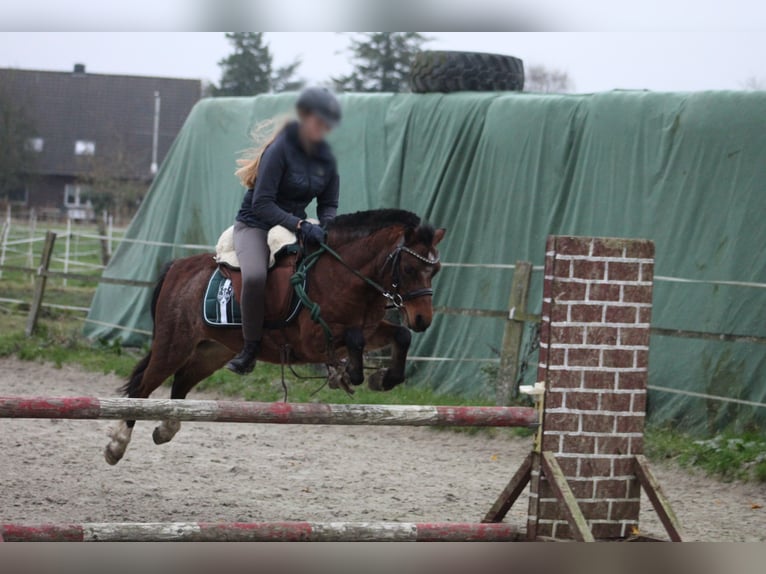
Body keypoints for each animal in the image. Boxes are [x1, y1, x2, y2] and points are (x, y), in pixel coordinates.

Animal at [105, 209, 445, 465]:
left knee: (180, 383)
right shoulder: (312, 341)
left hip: (212, 351)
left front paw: (381, 378)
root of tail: (178, 267)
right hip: (174, 345)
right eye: (410, 268)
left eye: (436, 269)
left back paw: (166, 429)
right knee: (143, 387)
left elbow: (400, 336)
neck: (345, 274)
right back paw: (116, 446)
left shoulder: (371, 328)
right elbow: (354, 341)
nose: (423, 320)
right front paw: (348, 373)